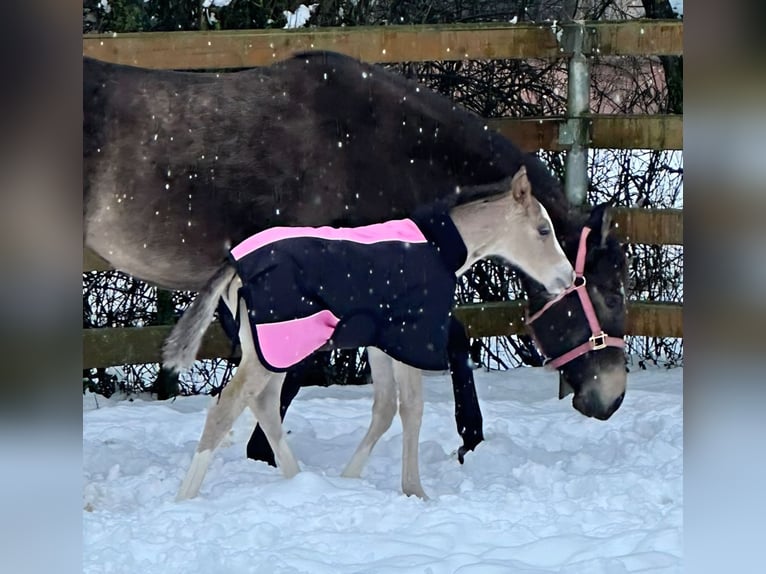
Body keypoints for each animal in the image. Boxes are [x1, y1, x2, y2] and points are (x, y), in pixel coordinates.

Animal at [163, 166, 575, 500]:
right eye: (543, 230)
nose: (568, 278)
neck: (440, 249)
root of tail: (235, 264)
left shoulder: (381, 343)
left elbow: (385, 407)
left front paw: (349, 479)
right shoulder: (414, 337)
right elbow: (412, 408)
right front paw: (416, 492)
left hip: (273, 348)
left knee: (262, 404)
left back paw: (303, 482)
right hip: (279, 343)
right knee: (227, 408)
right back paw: (185, 498)